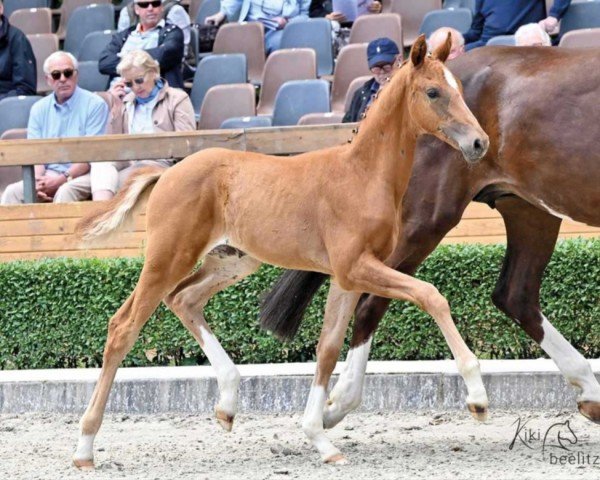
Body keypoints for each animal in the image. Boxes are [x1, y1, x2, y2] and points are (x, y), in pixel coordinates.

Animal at [72, 37, 490, 468]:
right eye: (434, 92)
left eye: (459, 87)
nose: (480, 143)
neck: (362, 175)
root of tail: (167, 172)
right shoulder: (355, 267)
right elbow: (431, 295)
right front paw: (478, 398)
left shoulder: (347, 277)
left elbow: (327, 349)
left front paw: (320, 438)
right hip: (167, 258)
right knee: (123, 326)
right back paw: (85, 447)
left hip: (231, 261)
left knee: (184, 299)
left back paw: (227, 404)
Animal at [262, 45, 600, 428]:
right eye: (435, 93)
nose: (477, 142)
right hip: (424, 221)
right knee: (370, 301)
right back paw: (339, 403)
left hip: (528, 210)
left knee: (516, 295)